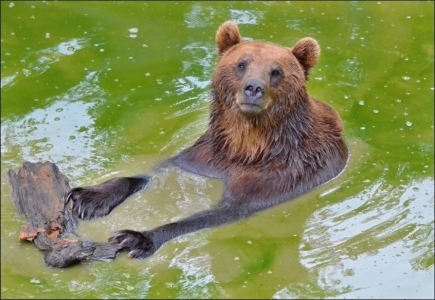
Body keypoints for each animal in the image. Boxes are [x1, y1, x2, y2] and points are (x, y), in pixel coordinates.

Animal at [66, 20, 350, 258]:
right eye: (241, 64)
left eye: (276, 71)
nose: (253, 88)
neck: (247, 145)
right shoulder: (208, 155)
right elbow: (155, 169)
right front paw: (89, 198)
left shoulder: (280, 174)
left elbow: (222, 211)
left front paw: (136, 237)